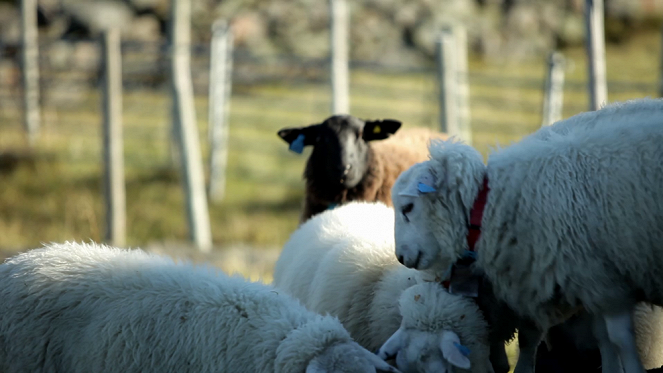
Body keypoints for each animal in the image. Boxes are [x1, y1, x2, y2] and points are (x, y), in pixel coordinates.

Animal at [390, 96, 663, 372]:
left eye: (408, 207)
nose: (400, 256)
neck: (491, 205)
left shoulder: (602, 279)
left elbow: (618, 339)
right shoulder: (592, 281)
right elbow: (603, 338)